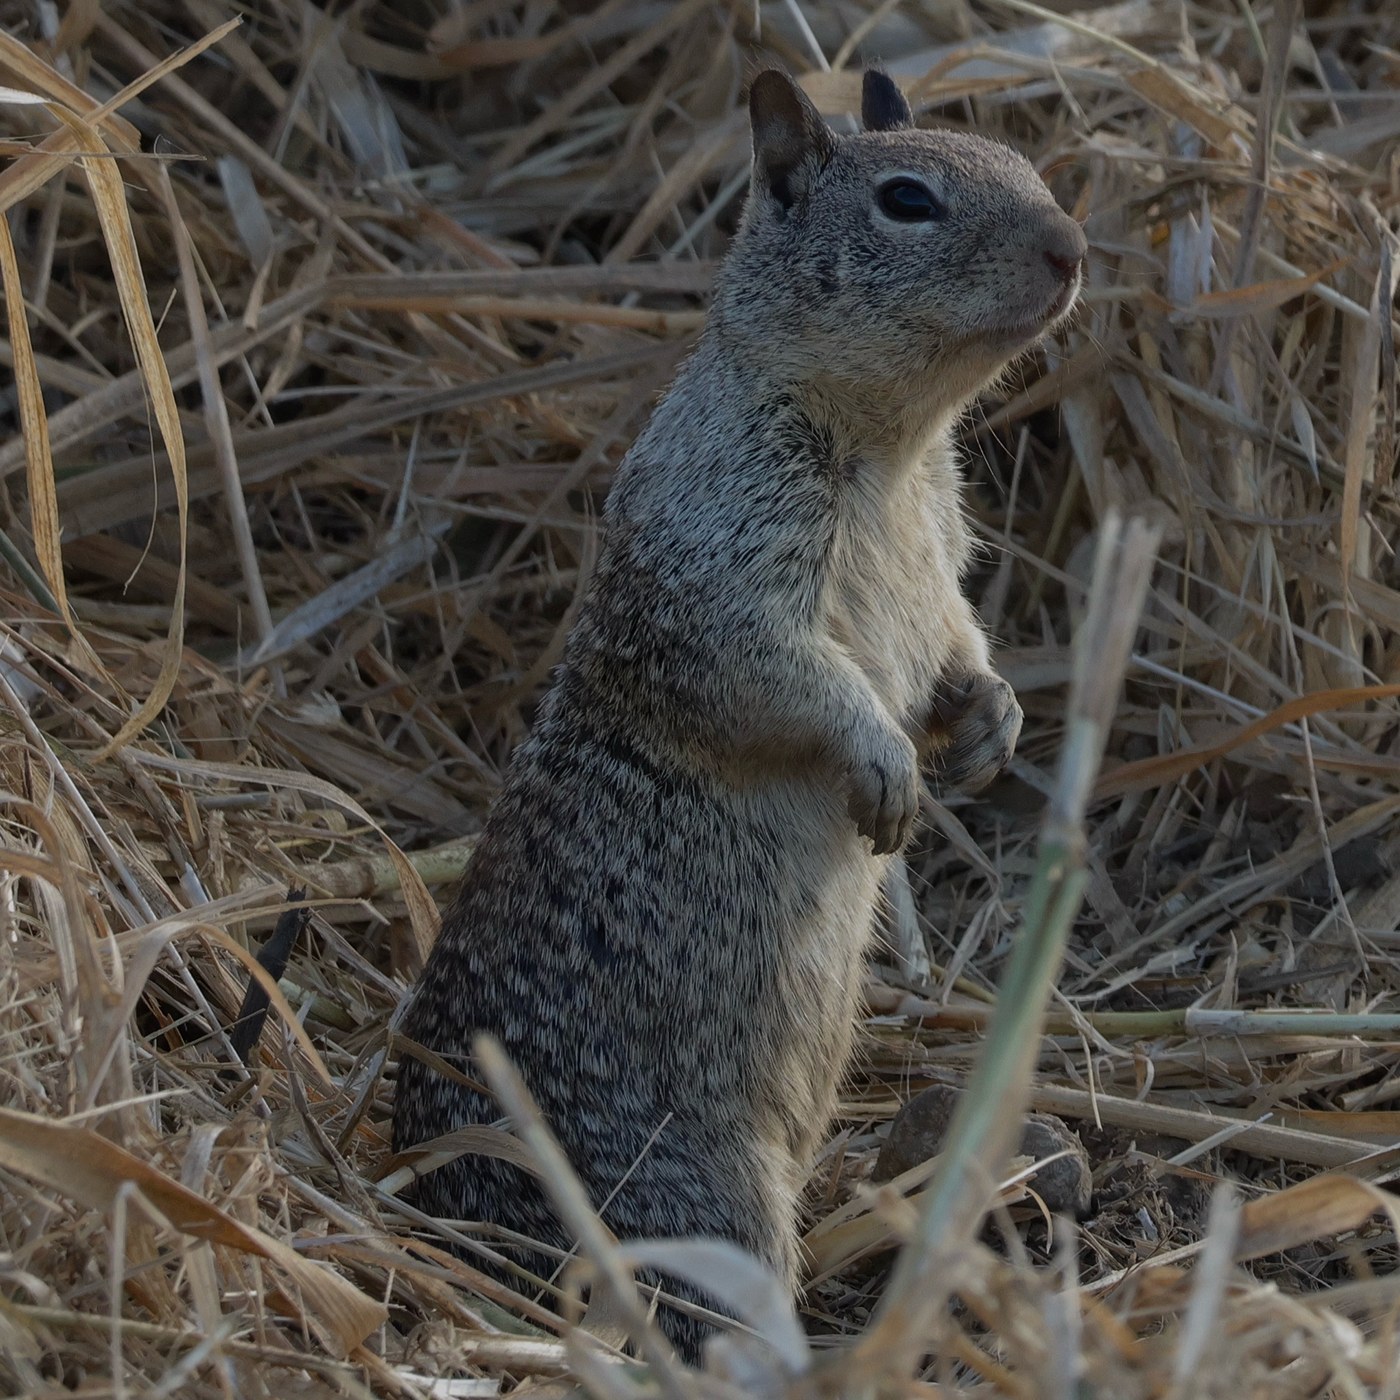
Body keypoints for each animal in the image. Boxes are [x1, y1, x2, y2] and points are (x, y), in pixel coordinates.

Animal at [392, 68, 1086, 1360]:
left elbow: (954, 642)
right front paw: (885, 763)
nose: (1070, 248)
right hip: (697, 1197)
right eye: (905, 199)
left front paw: (988, 721)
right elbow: (777, 675)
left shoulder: (941, 561)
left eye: (1022, 164)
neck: (891, 450)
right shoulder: (719, 574)